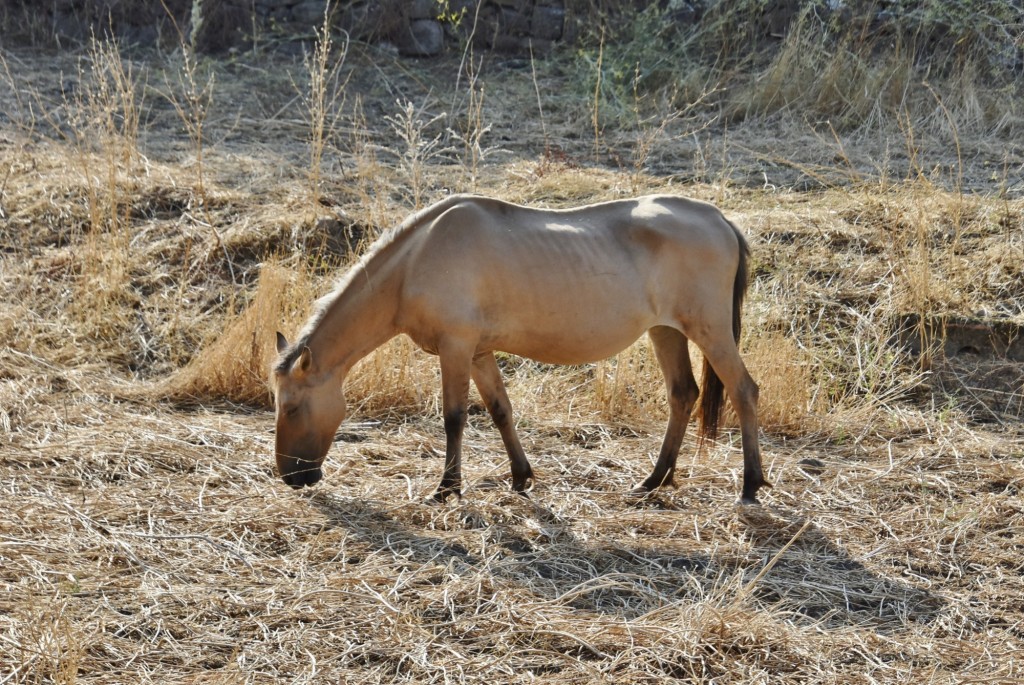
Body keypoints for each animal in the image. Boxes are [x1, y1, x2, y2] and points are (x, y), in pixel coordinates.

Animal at [272, 192, 770, 501]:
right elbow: (500, 410)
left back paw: (750, 484)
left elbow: (454, 418)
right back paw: (654, 480)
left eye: (292, 407)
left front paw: (447, 488)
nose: (292, 476)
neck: (416, 261)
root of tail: (720, 219)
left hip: (710, 331)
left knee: (744, 390)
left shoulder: (456, 348)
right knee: (683, 394)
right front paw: (520, 477)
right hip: (666, 331)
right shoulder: (478, 352)